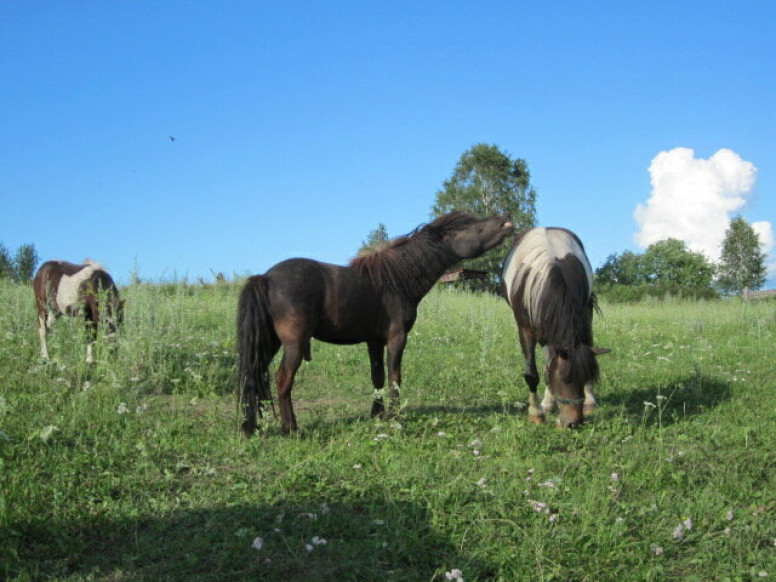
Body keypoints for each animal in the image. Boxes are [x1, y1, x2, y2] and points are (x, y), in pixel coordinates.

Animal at [236, 212, 516, 436]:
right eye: (471, 226)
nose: (506, 220)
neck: (397, 280)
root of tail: (266, 278)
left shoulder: (374, 341)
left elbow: (377, 376)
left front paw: (377, 414)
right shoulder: (397, 338)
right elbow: (394, 377)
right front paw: (396, 417)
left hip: (269, 343)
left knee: (254, 375)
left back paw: (253, 426)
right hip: (294, 344)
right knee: (282, 379)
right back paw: (290, 428)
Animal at [500, 228, 608, 428]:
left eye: (584, 377)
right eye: (564, 379)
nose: (573, 423)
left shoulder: (584, 316)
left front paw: (589, 400)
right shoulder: (524, 328)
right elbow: (532, 374)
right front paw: (536, 413)